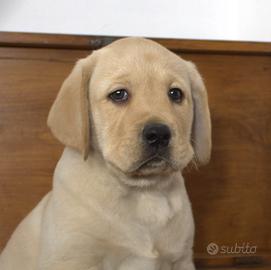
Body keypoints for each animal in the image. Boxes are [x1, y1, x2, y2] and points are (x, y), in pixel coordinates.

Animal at [0, 37, 212, 268]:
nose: (159, 134)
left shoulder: (182, 259)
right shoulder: (71, 260)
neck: (143, 192)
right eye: (118, 94)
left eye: (175, 94)